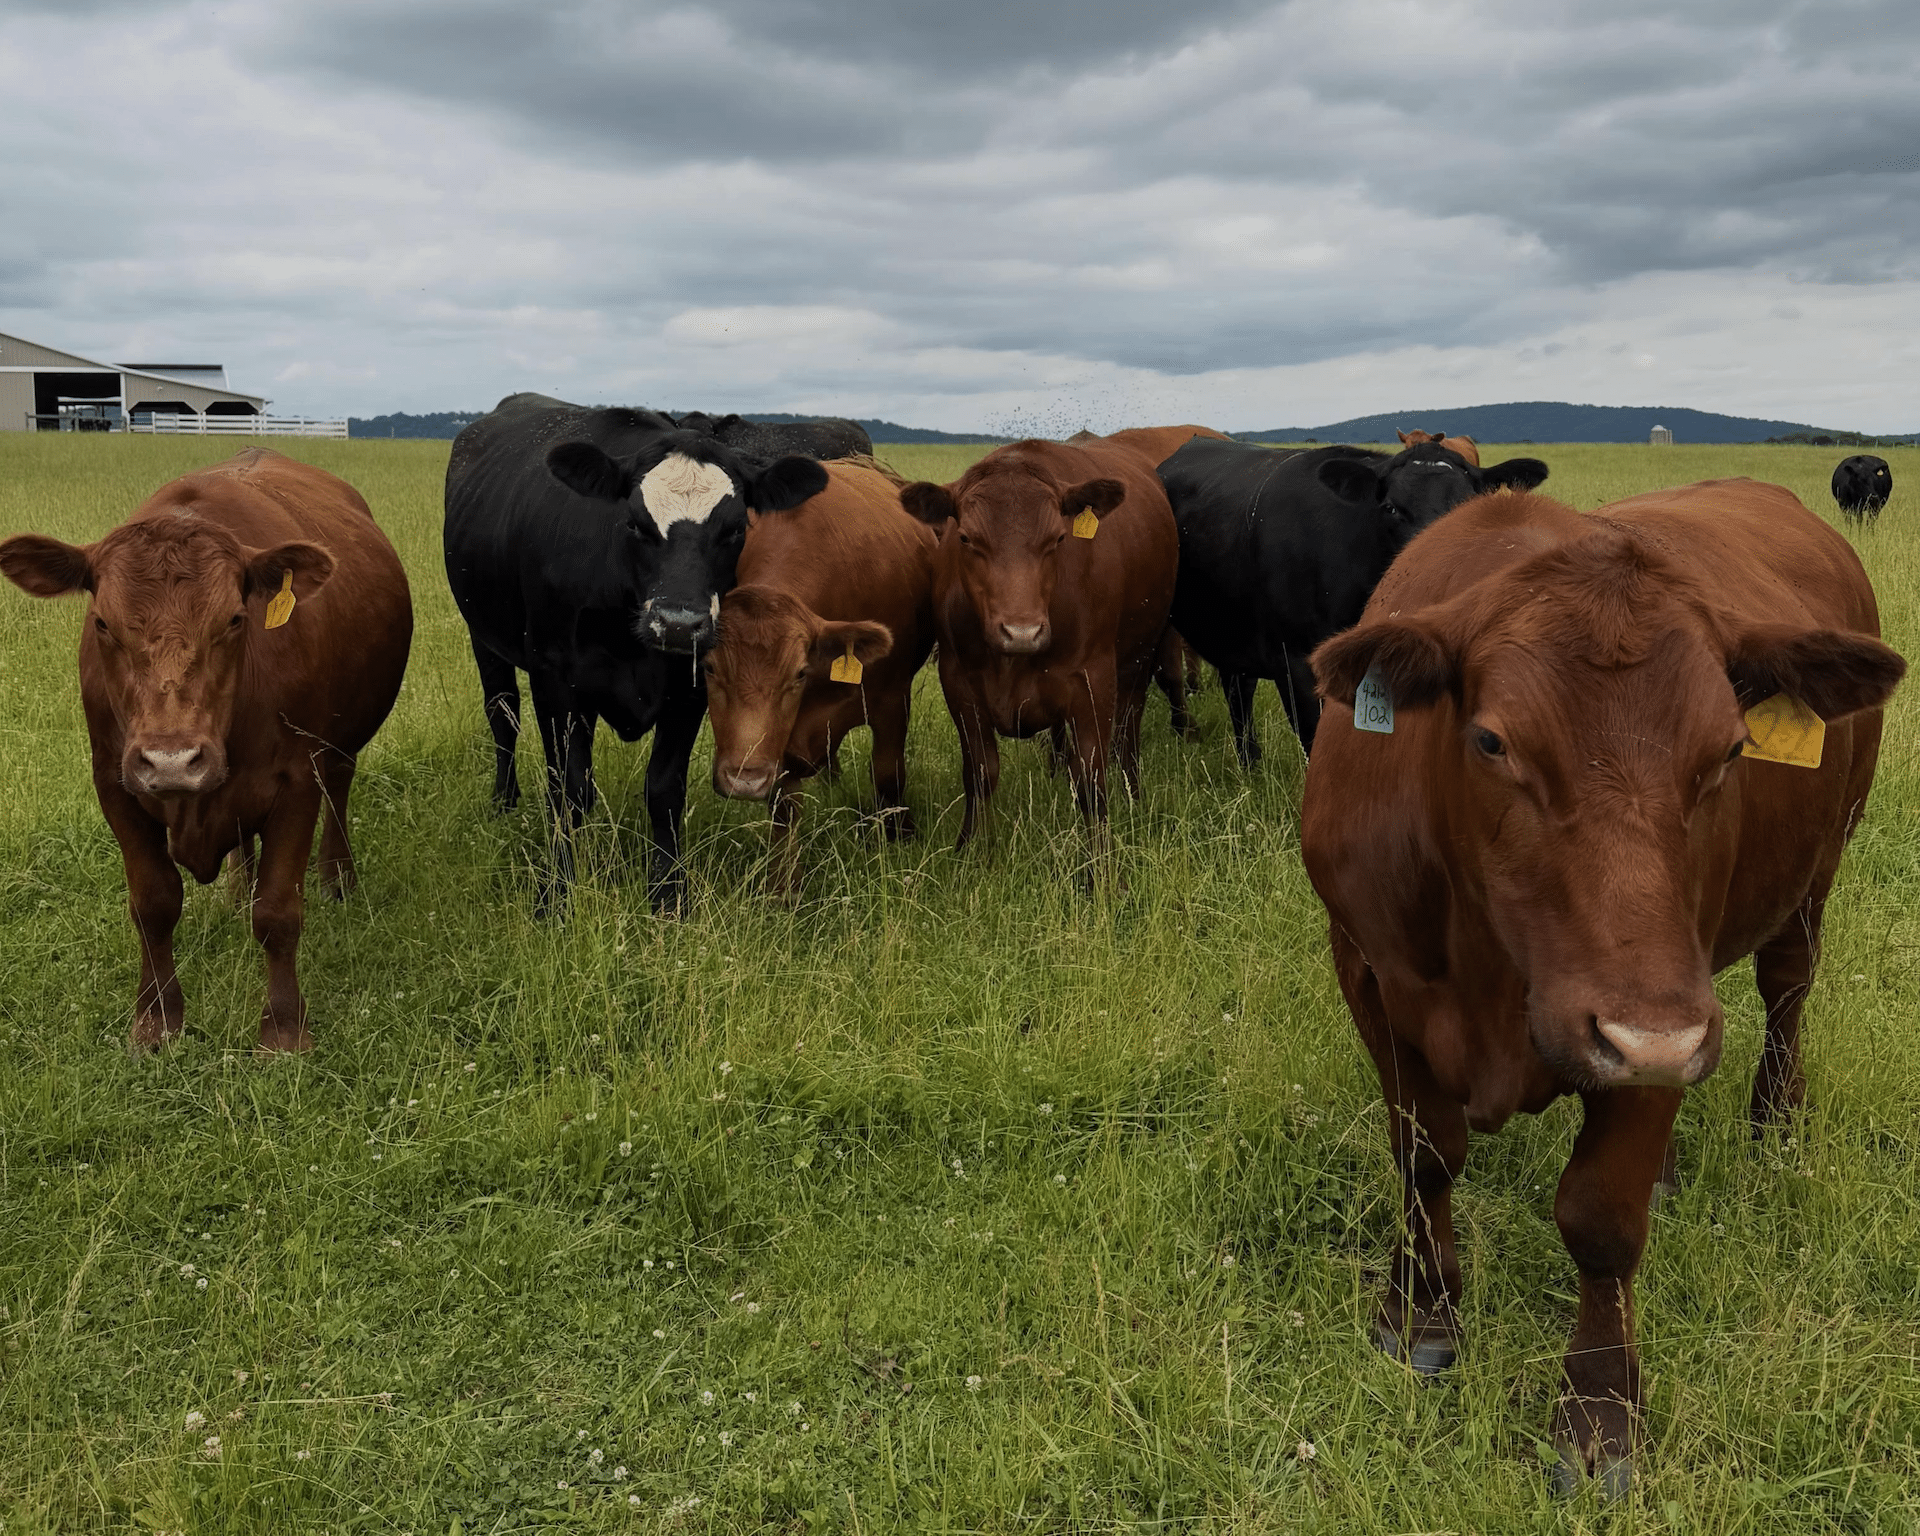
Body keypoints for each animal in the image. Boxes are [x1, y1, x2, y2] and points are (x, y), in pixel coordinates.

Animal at [0, 449, 413, 1053]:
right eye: (102, 623)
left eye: (235, 619)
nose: (172, 761)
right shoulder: (115, 783)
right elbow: (153, 904)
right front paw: (156, 1021)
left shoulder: (297, 780)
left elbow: (278, 912)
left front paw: (283, 1030)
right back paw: (237, 892)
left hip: (338, 745)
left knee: (339, 787)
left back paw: (337, 878)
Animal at [443, 393, 828, 911]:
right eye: (636, 523)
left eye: (735, 529)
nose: (679, 624)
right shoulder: (554, 680)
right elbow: (566, 788)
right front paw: (557, 892)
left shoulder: (690, 688)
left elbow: (664, 789)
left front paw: (667, 893)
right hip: (484, 639)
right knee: (503, 716)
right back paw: (503, 801)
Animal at [705, 456, 937, 891]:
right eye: (709, 667)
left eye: (799, 673)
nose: (745, 780)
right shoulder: (778, 740)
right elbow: (784, 804)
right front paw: (784, 885)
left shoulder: (892, 700)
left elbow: (888, 774)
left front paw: (899, 839)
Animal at [898, 438, 1179, 851]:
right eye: (965, 538)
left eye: (1059, 539)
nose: (1022, 632)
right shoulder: (958, 681)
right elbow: (979, 771)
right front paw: (967, 849)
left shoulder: (1094, 681)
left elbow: (1091, 778)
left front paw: (1101, 862)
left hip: (1141, 659)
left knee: (1128, 733)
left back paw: (1134, 794)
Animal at [1300, 478, 1905, 1492]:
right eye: (1492, 741)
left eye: (1731, 750)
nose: (1652, 1037)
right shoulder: (1372, 972)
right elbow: (1424, 1154)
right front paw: (1420, 1314)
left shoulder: (1664, 1013)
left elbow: (1601, 1217)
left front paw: (1599, 1417)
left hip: (1813, 873)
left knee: (1788, 990)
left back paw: (1776, 1126)